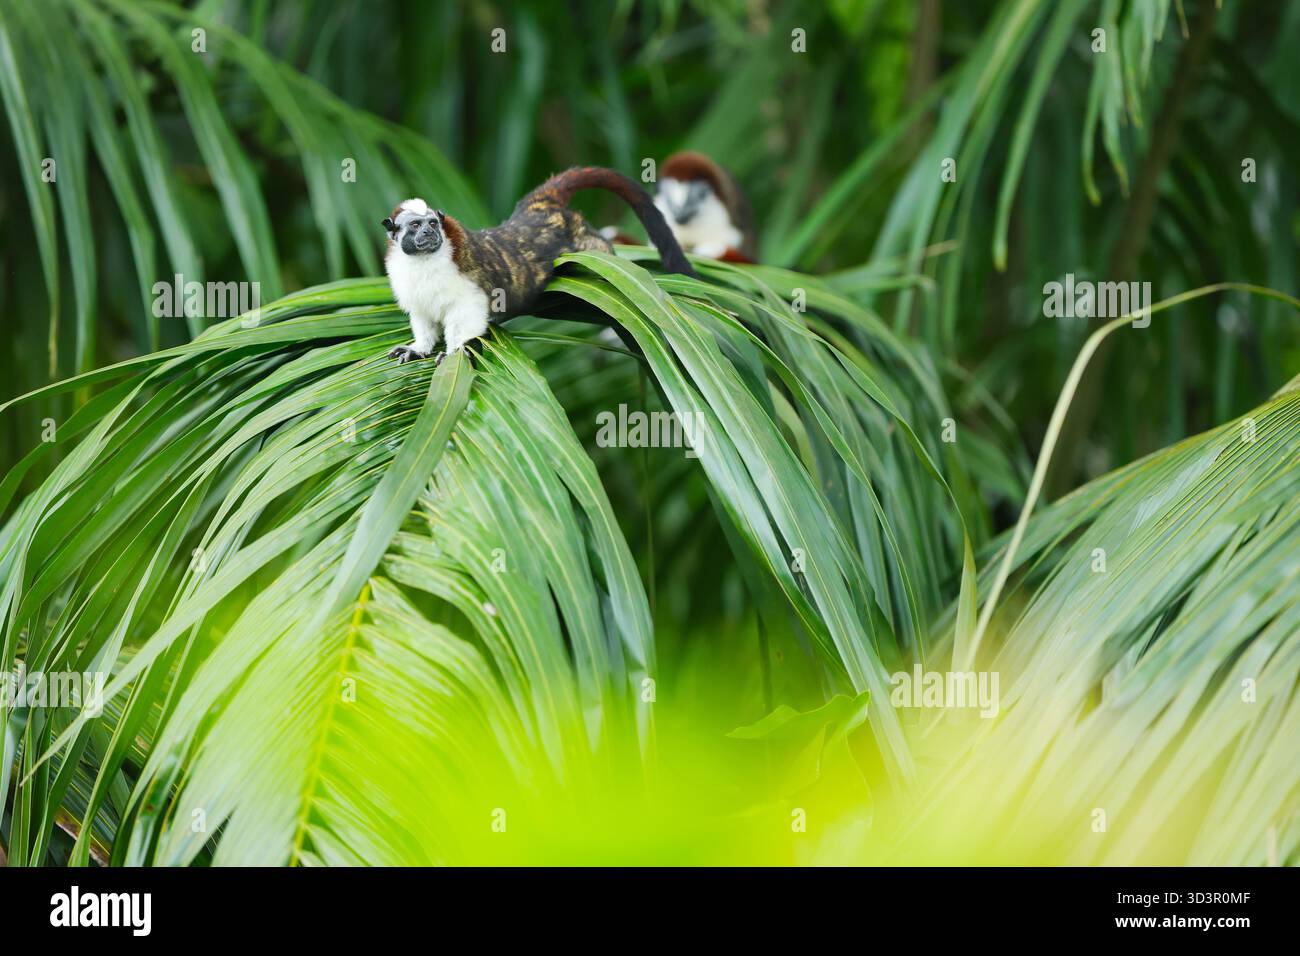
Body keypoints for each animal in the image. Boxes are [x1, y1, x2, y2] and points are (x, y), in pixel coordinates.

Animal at [382, 167, 696, 364]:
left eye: (432, 224)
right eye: (415, 225)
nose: (429, 233)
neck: (424, 262)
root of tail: (540, 208)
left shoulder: (464, 281)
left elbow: (467, 314)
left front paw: (455, 351)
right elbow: (423, 319)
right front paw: (419, 348)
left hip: (582, 241)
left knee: (598, 247)